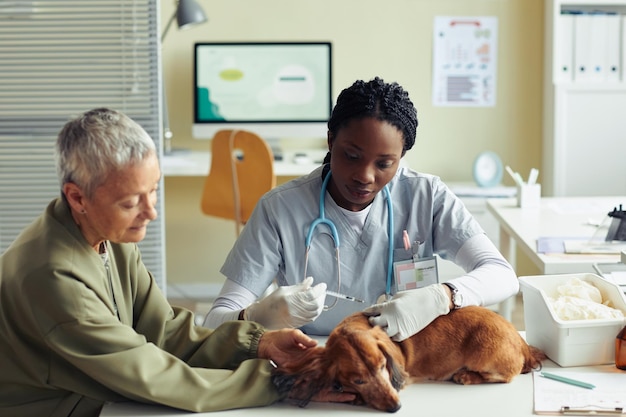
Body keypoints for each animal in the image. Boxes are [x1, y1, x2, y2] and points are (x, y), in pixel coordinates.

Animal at [270, 304, 544, 412]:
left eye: (383, 366)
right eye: (358, 381)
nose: (396, 407)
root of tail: (520, 341)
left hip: (484, 355)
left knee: (503, 376)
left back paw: (465, 376)